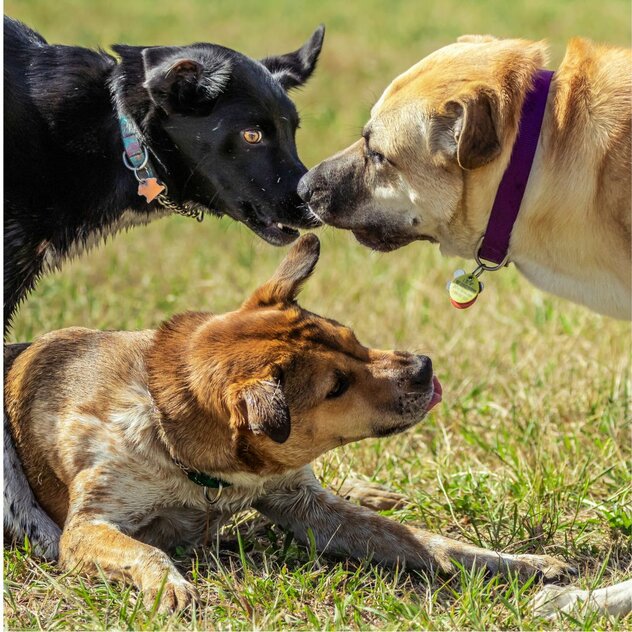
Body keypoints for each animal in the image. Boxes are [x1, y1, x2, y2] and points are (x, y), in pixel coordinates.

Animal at [4, 235, 572, 608]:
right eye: (335, 387)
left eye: (353, 337)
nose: (424, 368)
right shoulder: (86, 527)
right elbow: (141, 550)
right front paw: (169, 585)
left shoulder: (306, 504)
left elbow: (429, 541)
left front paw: (523, 564)